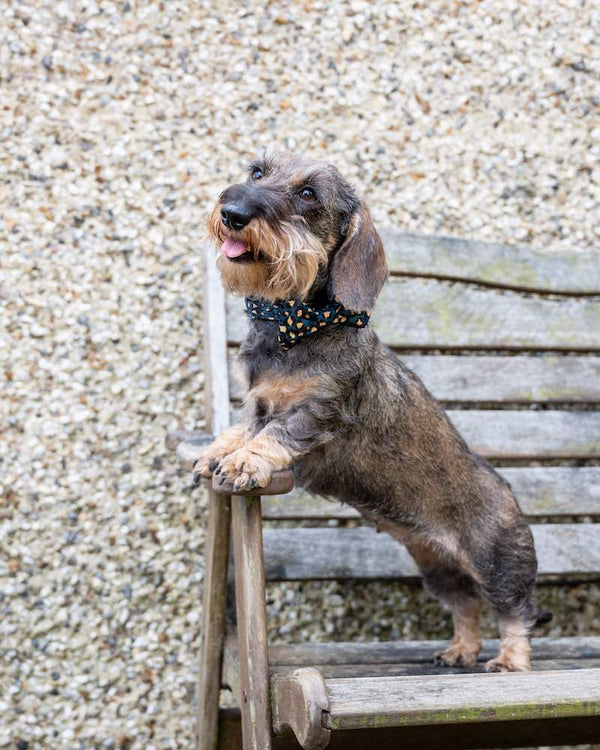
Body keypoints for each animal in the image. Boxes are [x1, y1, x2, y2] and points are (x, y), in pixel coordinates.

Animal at [195, 153, 540, 676]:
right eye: (257, 172)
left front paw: (244, 461)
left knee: (514, 609)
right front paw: (220, 450)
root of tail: (508, 491)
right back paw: (460, 649)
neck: (297, 327)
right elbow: (246, 427)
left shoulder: (318, 411)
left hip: (495, 561)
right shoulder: (256, 401)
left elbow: (274, 435)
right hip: (437, 565)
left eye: (309, 194)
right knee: (466, 604)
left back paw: (509, 660)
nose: (232, 212)